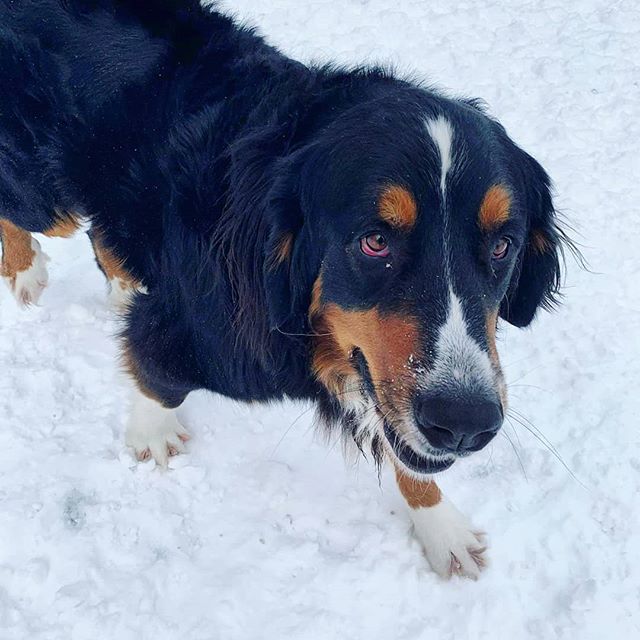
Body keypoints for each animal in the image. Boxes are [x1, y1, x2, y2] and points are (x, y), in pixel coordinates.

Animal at [1, 1, 568, 580]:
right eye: (374, 241)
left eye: (502, 247)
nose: (466, 425)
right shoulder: (190, 331)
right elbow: (157, 375)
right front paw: (151, 434)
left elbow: (410, 455)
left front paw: (440, 527)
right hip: (45, 199)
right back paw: (26, 271)